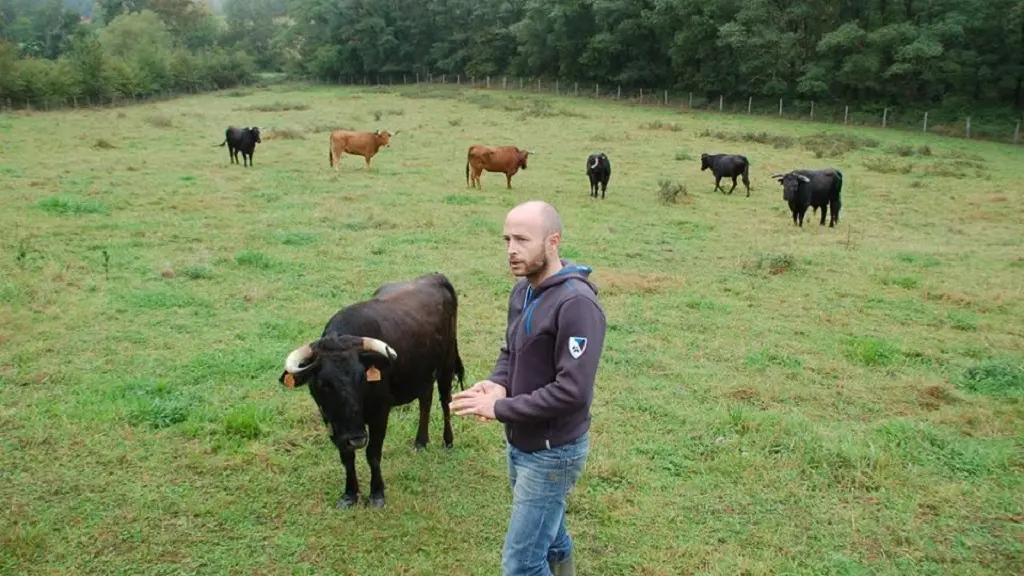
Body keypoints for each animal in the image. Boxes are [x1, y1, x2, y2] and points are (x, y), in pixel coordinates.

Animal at [274, 270, 462, 504]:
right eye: (322, 383)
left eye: (362, 377)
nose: (356, 439)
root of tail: (434, 275)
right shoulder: (331, 420)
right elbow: (346, 455)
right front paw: (349, 494)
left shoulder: (380, 413)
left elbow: (373, 452)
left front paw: (377, 494)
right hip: (423, 373)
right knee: (425, 400)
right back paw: (420, 442)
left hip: (446, 364)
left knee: (445, 402)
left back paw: (448, 441)